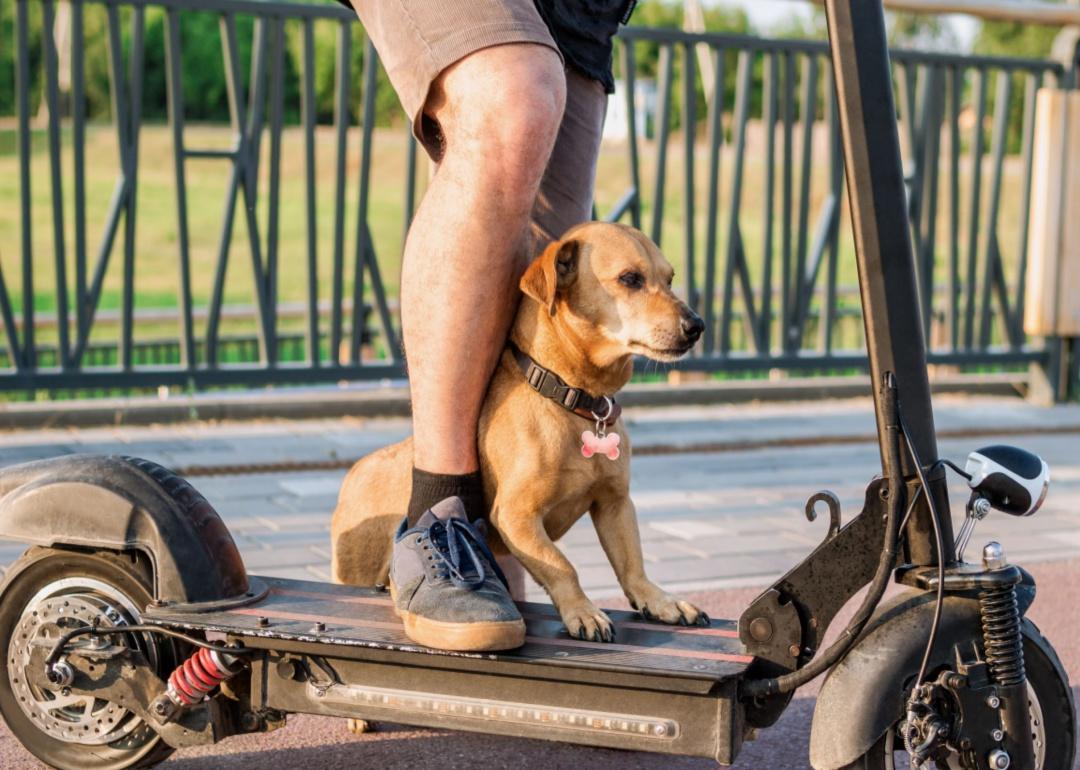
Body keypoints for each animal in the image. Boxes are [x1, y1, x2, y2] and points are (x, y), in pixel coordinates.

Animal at [332, 222, 712, 643]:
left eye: (670, 279)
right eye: (630, 279)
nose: (697, 326)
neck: (573, 400)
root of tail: (354, 473)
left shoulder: (615, 504)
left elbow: (632, 563)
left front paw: (659, 601)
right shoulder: (517, 516)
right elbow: (561, 564)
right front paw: (583, 611)